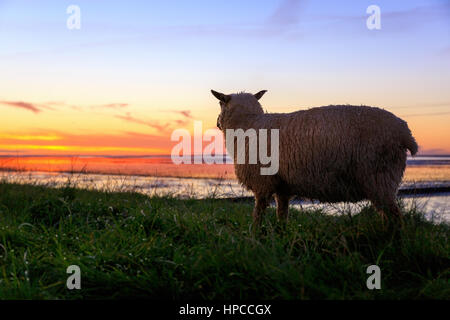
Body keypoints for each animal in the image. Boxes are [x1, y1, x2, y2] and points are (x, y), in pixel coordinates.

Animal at [211, 89, 418, 226]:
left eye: (220, 103)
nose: (217, 123)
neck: (247, 124)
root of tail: (405, 131)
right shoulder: (282, 187)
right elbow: (282, 215)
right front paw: (281, 237)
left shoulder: (262, 183)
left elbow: (258, 216)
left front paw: (256, 237)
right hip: (382, 181)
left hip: (379, 177)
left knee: (396, 219)